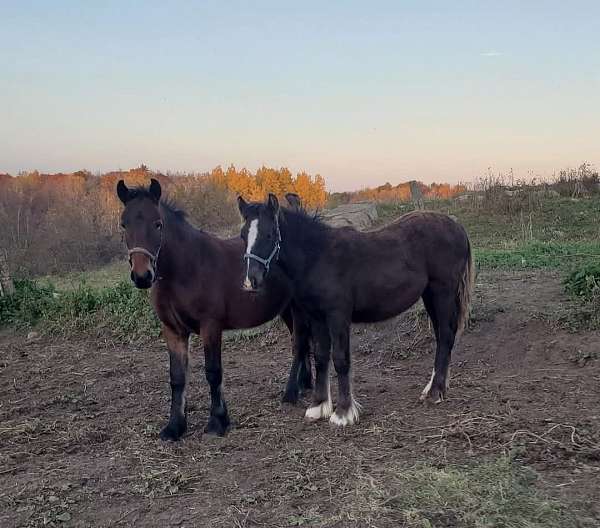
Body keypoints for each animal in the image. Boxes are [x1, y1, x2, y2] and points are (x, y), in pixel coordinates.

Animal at [118, 179, 314, 440]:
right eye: (124, 225)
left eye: (157, 224)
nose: (142, 276)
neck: (187, 269)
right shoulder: (172, 330)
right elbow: (177, 376)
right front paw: (174, 427)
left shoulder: (210, 326)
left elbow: (213, 372)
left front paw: (217, 421)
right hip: (286, 309)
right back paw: (305, 383)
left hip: (298, 307)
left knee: (299, 343)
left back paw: (292, 391)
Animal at [238, 196, 474, 426]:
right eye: (243, 236)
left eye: (269, 234)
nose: (251, 281)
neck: (318, 257)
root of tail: (457, 227)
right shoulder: (317, 318)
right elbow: (321, 357)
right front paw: (318, 406)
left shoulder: (338, 316)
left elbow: (341, 359)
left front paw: (343, 413)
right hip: (430, 296)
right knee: (442, 336)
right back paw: (433, 387)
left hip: (442, 293)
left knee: (445, 336)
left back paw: (435, 392)